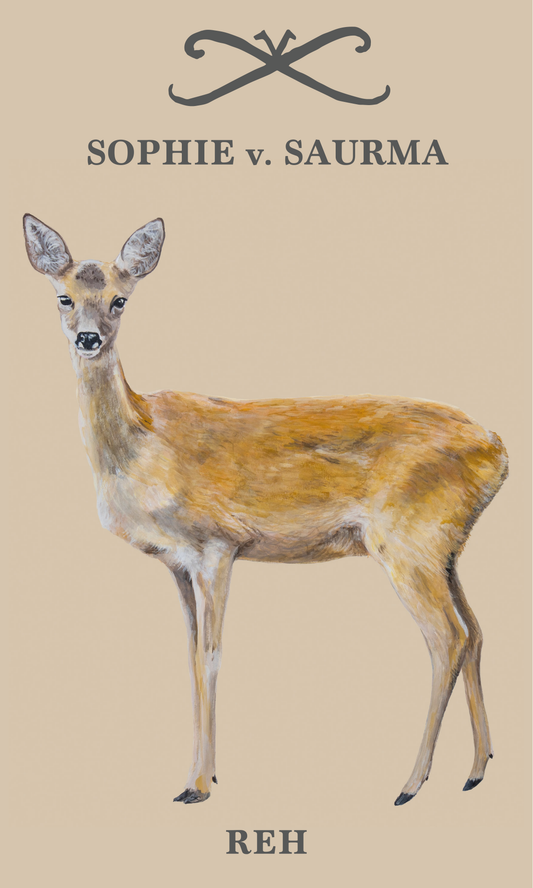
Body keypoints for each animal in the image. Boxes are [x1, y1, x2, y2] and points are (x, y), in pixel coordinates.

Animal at [23, 214, 508, 806]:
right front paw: (198, 776)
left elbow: (211, 656)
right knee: (477, 631)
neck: (144, 444)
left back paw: (410, 784)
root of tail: (498, 448)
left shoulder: (218, 544)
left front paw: (199, 786)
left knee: (448, 638)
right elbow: (189, 658)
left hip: (407, 543)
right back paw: (476, 769)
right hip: (447, 550)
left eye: (120, 299)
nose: (88, 338)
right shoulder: (177, 563)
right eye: (63, 297)